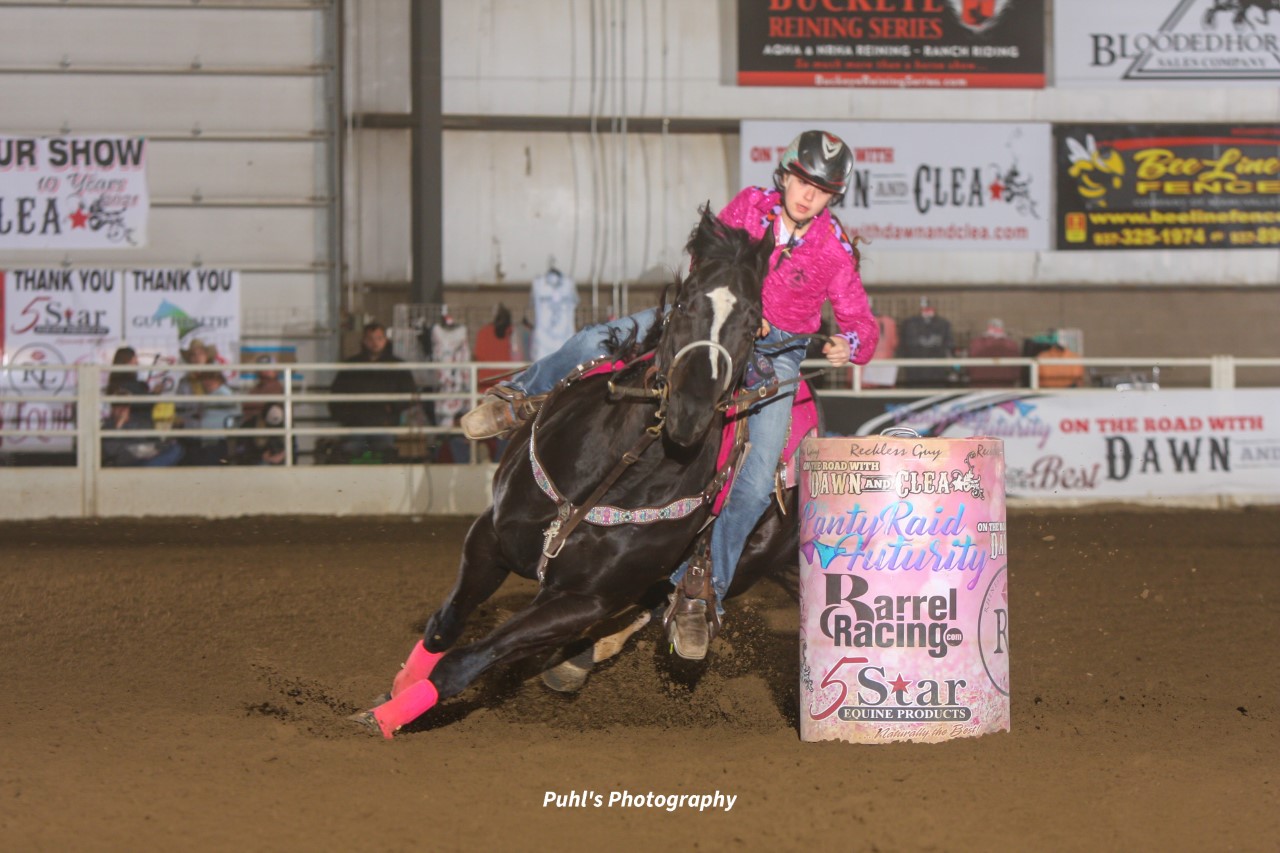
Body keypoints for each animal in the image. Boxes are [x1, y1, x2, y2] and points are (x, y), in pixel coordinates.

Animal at [353, 207, 798, 737]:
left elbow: (462, 662)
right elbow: (445, 627)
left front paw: (386, 719)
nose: (689, 412)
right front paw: (392, 695)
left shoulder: (583, 599)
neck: (617, 468)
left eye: (753, 325)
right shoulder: (490, 536)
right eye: (686, 302)